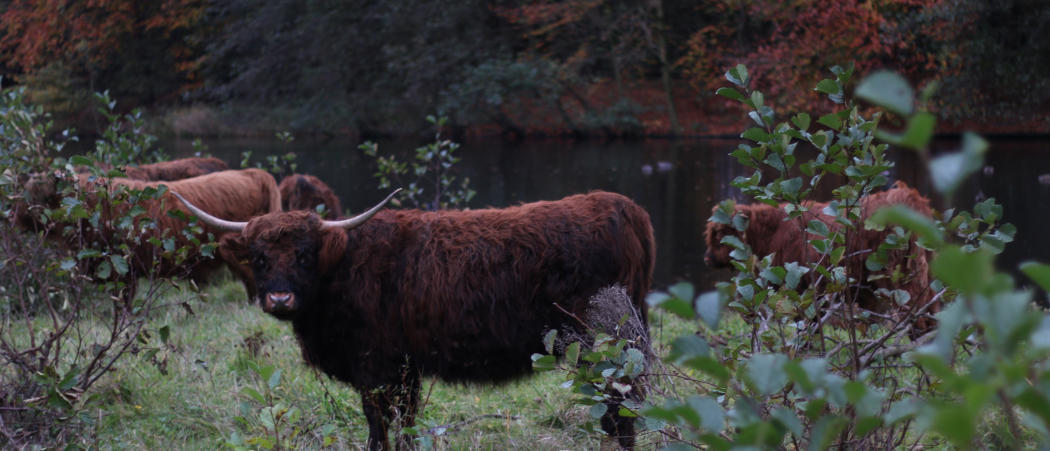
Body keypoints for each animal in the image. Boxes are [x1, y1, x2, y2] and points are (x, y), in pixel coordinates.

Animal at [177, 190, 655, 451]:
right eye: (259, 257)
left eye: (304, 254)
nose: (280, 298)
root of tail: (623, 206)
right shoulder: (404, 367)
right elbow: (402, 421)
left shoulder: (377, 366)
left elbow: (379, 423)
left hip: (604, 343)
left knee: (621, 407)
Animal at [705, 180, 936, 335]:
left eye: (719, 235)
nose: (707, 259)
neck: (773, 231)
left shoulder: (800, 287)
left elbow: (806, 325)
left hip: (903, 277)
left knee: (918, 317)